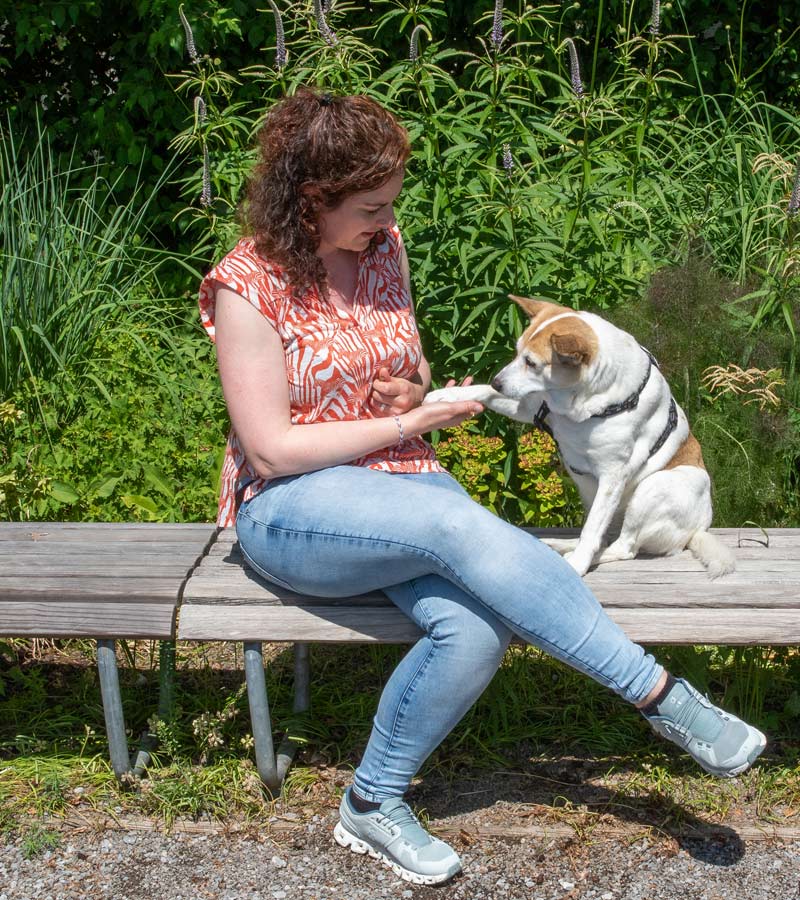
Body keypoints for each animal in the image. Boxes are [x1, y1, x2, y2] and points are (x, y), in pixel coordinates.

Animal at [428, 292, 736, 580]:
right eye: (517, 353)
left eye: (532, 363)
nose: (497, 382)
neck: (578, 403)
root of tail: (700, 528)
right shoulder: (531, 407)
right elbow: (480, 391)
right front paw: (446, 396)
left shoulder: (612, 476)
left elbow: (593, 529)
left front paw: (578, 565)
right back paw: (560, 545)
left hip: (658, 486)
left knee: (621, 547)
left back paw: (583, 555)